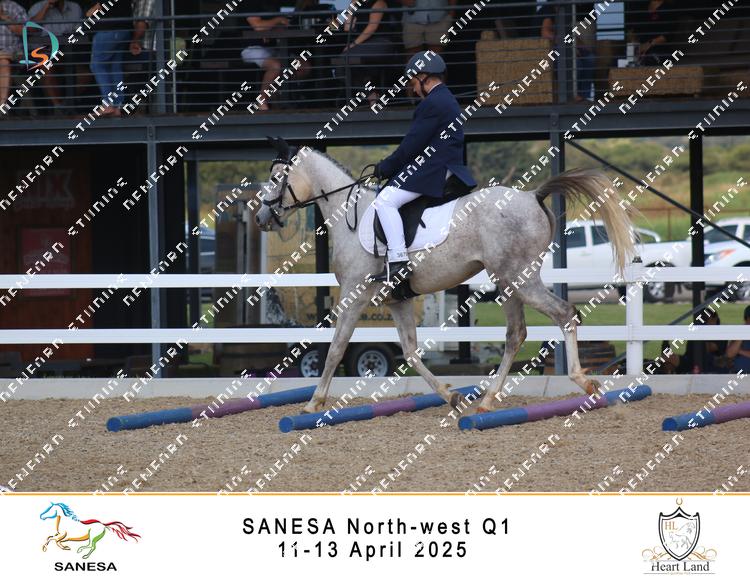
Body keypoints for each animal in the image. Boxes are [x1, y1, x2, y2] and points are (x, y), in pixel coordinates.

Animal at [255, 137, 636, 415]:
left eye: (275, 179)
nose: (261, 218)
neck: (352, 214)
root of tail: (532, 195)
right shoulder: (396, 301)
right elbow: (410, 353)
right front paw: (450, 396)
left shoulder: (354, 295)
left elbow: (335, 349)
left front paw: (313, 403)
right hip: (508, 282)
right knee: (516, 333)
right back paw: (487, 400)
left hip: (520, 280)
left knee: (564, 314)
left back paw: (583, 382)